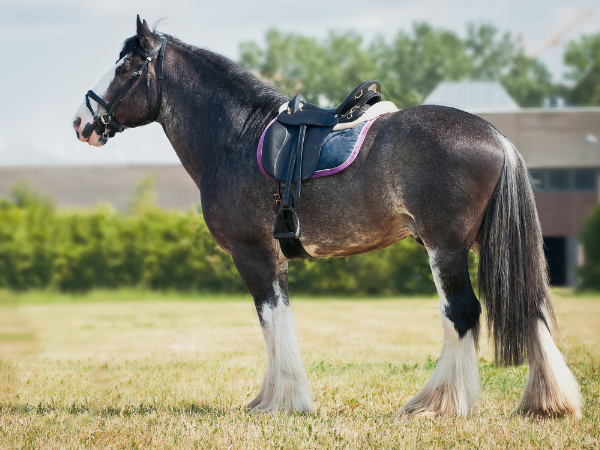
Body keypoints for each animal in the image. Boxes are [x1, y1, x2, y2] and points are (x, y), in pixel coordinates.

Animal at [71, 17, 580, 418]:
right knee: (529, 303)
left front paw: (283, 401)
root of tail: (497, 137)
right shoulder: (272, 256)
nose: (81, 122)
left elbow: (272, 319)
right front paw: (272, 398)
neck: (237, 136)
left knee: (462, 312)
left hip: (446, 248)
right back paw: (548, 402)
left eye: (125, 68)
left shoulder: (252, 253)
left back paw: (438, 403)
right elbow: (277, 321)